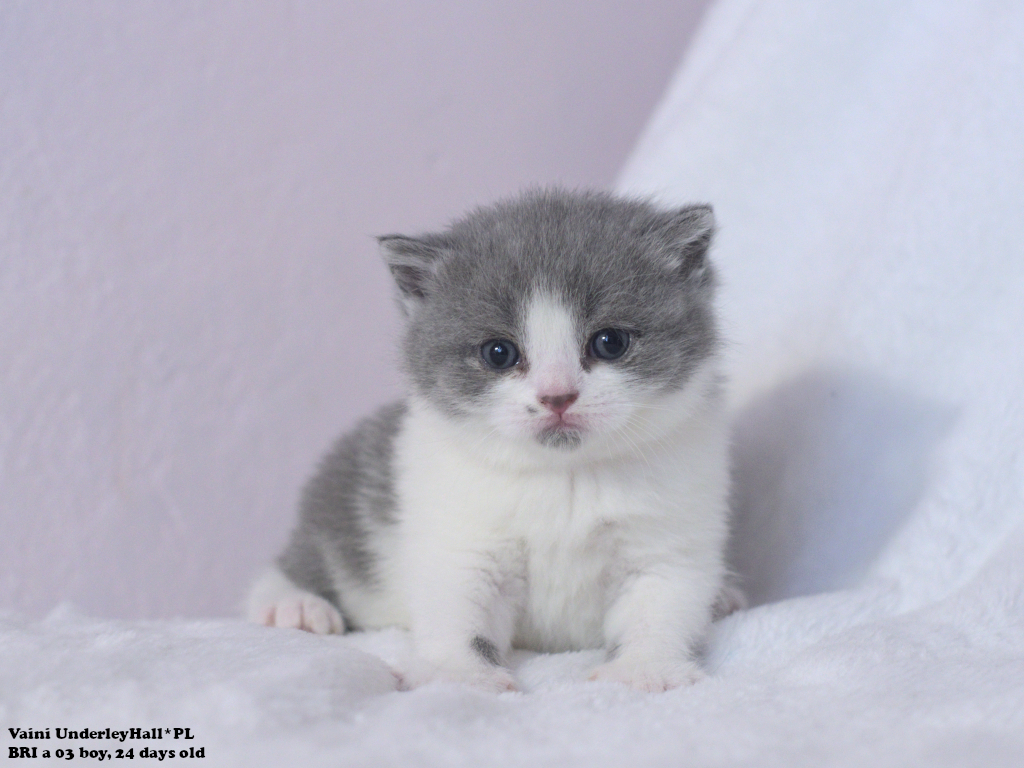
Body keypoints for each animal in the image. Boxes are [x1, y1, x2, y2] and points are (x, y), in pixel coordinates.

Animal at [248, 189, 734, 692]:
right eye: (498, 353)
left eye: (610, 342)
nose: (557, 396)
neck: (564, 476)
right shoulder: (462, 540)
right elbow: (460, 608)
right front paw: (458, 672)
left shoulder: (668, 541)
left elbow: (660, 604)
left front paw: (646, 669)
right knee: (304, 557)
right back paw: (293, 604)